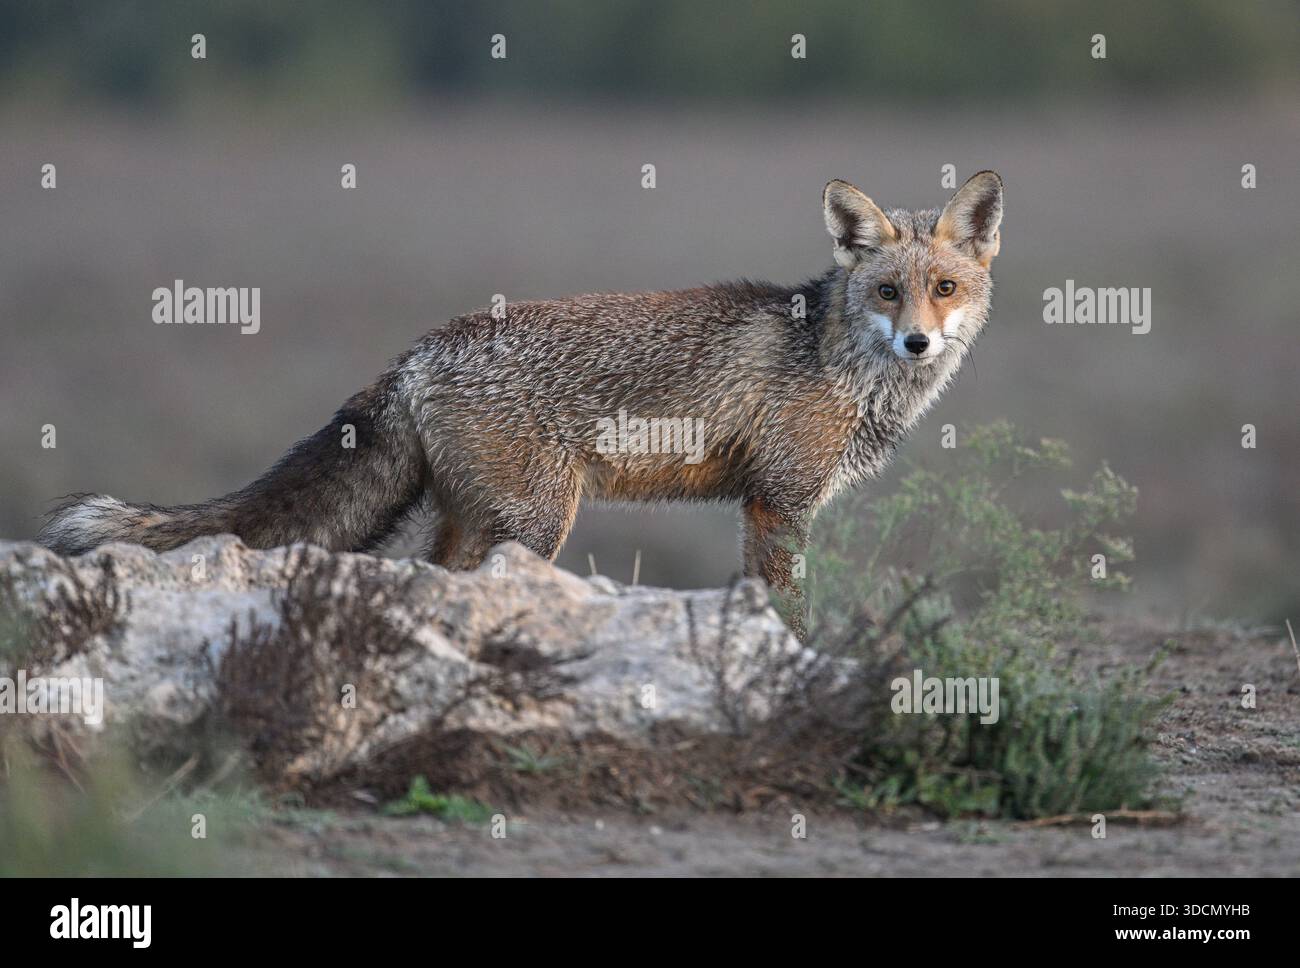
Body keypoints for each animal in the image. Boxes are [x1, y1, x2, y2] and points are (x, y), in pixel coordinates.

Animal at [39, 171, 1004, 639]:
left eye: (945, 290)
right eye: (887, 292)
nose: (919, 344)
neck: (842, 362)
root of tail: (420, 350)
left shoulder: (769, 506)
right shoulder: (777, 504)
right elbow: (789, 611)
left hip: (477, 521)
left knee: (425, 581)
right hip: (538, 524)